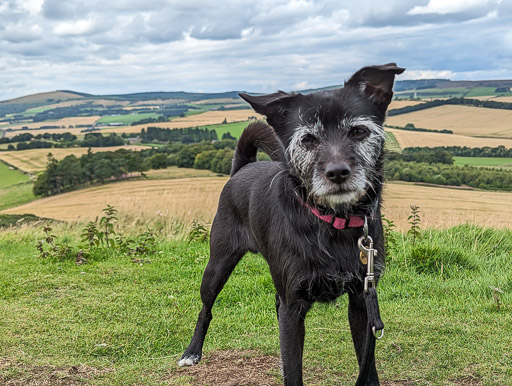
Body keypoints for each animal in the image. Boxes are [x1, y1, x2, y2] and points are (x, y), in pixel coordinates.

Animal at [178, 62, 406, 382]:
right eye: (307, 139)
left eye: (359, 131)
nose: (338, 173)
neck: (331, 223)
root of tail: (241, 169)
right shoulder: (294, 305)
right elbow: (293, 370)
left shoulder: (362, 301)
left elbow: (367, 366)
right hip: (218, 264)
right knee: (205, 309)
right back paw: (191, 352)